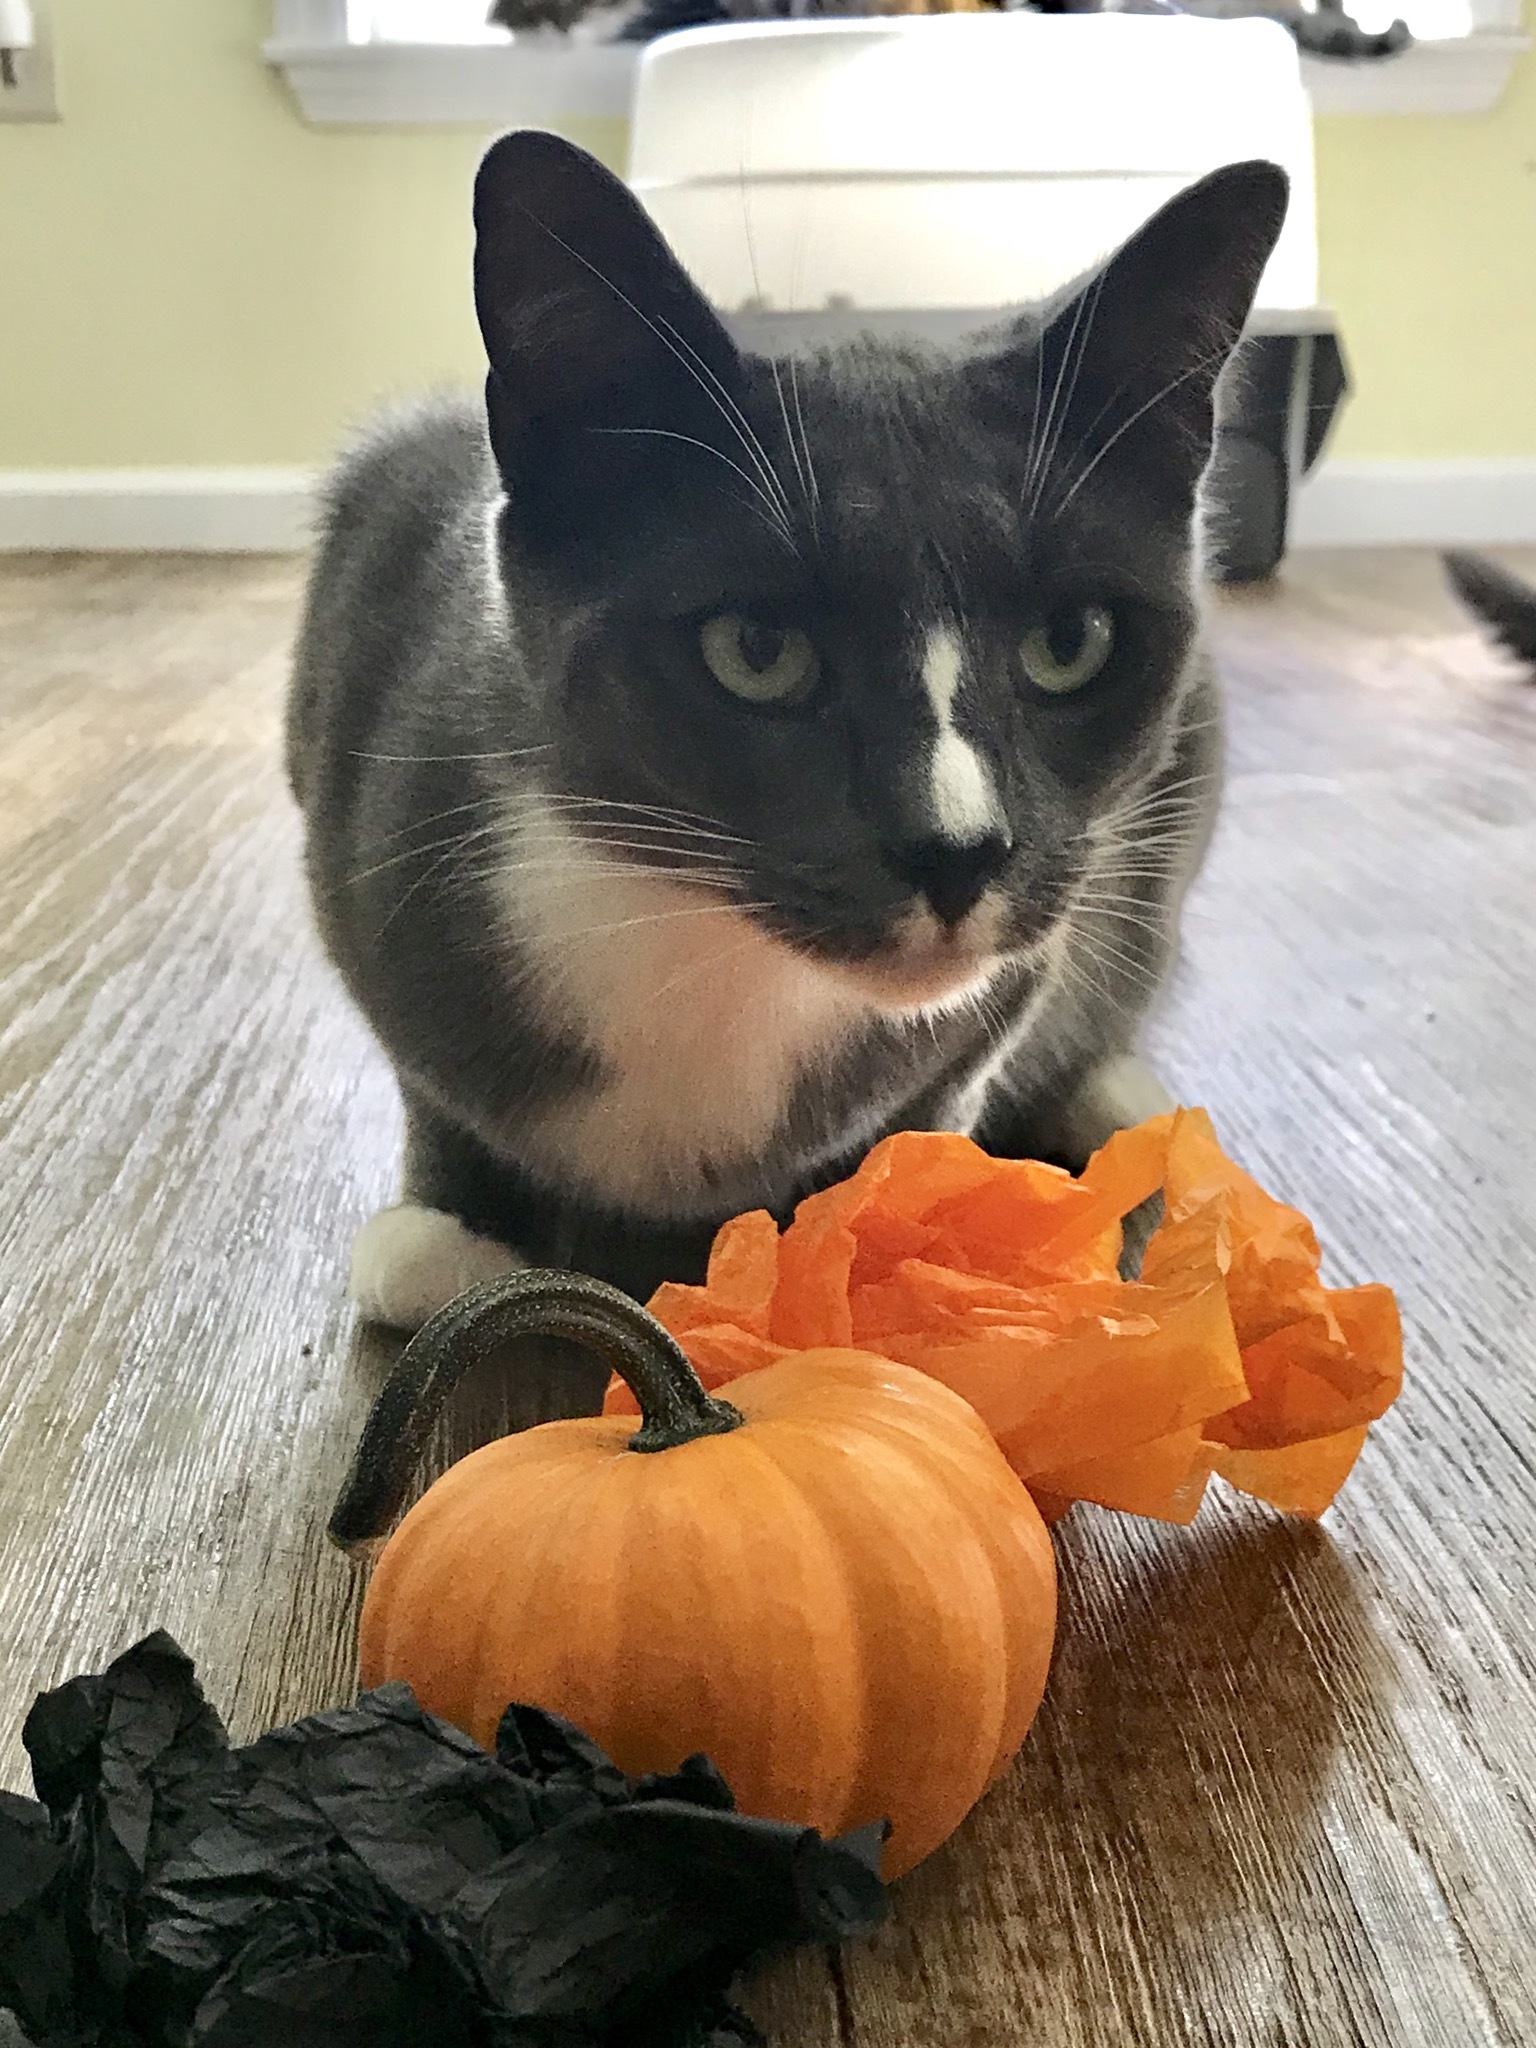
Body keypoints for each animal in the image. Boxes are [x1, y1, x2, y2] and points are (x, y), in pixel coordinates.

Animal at [286, 136, 1286, 1335]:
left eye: (1071, 640)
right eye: (757, 648)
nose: (959, 852)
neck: (709, 944)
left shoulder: (1012, 970)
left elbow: (940, 1083)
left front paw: (871, 1233)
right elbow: (427, 1068)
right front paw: (448, 1229)